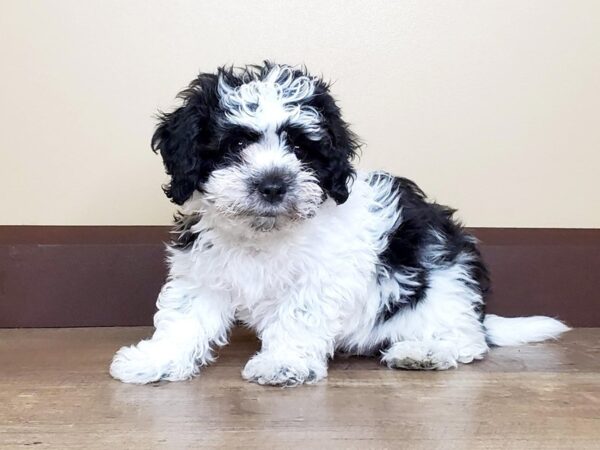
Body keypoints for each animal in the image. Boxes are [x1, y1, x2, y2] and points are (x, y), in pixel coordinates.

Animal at [110, 62, 568, 386]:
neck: (266, 235)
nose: (273, 185)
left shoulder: (323, 276)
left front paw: (283, 363)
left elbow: (298, 314)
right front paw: (156, 359)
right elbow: (184, 317)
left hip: (443, 283)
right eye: (236, 143)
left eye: (300, 148)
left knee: (468, 340)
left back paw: (423, 353)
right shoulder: (204, 271)